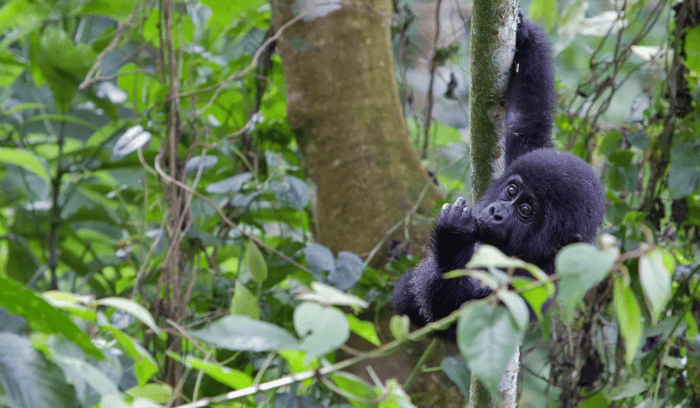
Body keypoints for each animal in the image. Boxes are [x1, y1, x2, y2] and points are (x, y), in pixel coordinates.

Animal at [394, 13, 608, 338]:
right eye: (511, 190)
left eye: (526, 210)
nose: (496, 212)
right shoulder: (526, 152)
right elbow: (525, 120)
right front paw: (527, 35)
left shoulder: (533, 281)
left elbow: (468, 317)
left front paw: (452, 241)